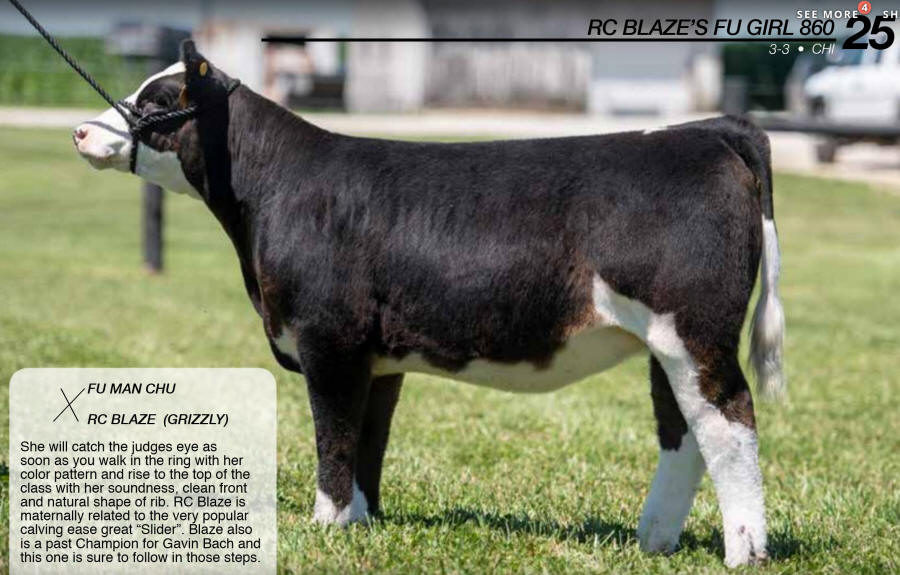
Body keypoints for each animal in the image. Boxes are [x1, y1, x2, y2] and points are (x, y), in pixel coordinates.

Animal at [73, 41, 785, 567]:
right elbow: (367, 440)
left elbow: (334, 437)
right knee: (683, 431)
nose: (80, 129)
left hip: (693, 331)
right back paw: (654, 539)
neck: (271, 191)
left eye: (155, 101)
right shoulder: (376, 358)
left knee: (729, 423)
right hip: (664, 343)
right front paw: (360, 523)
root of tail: (704, 132)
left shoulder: (329, 342)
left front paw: (326, 526)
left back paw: (743, 551)